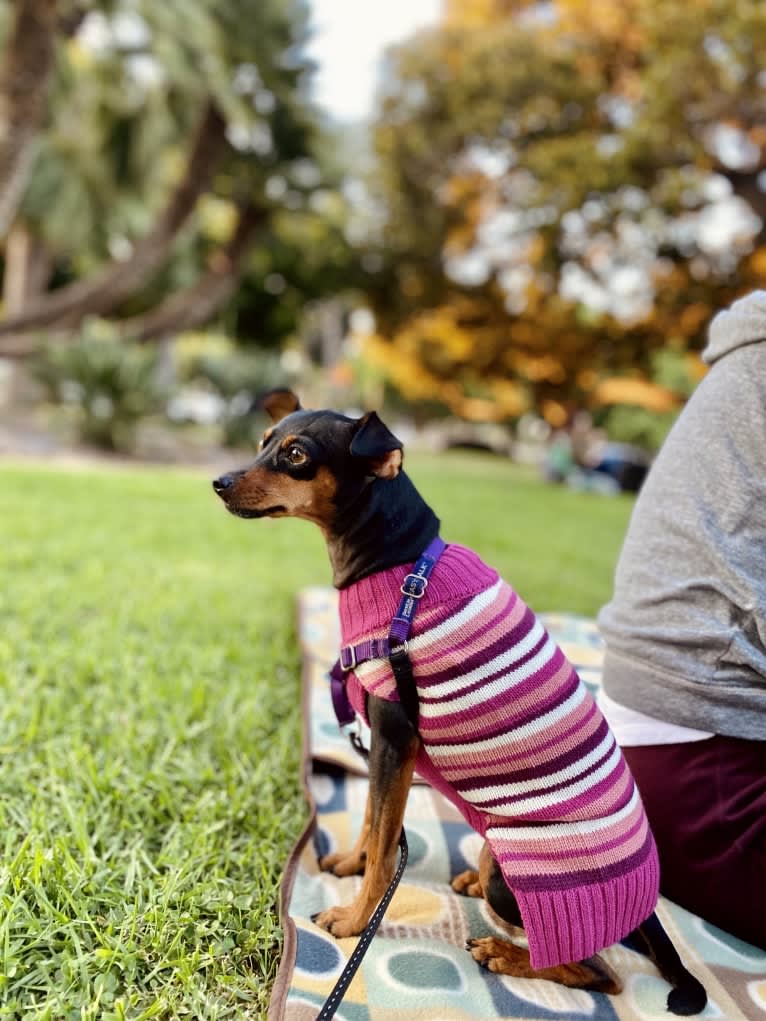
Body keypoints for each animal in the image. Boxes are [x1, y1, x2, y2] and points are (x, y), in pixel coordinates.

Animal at [213, 387, 710, 1012]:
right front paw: (349, 866)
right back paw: (471, 883)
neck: (397, 564)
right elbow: (374, 822)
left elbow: (385, 850)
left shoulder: (395, 735)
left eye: (296, 454)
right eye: (263, 442)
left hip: (521, 889)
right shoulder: (385, 748)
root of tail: (646, 907)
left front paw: (354, 921)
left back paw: (504, 953)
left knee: (602, 975)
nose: (220, 481)